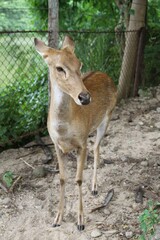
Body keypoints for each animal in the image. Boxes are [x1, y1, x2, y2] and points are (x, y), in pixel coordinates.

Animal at [34, 36, 117, 231]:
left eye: (80, 64)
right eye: (59, 68)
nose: (85, 97)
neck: (63, 129)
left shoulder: (82, 142)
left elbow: (78, 179)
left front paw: (80, 221)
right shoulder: (56, 145)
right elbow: (62, 178)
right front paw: (57, 218)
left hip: (107, 118)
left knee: (96, 148)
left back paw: (94, 187)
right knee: (95, 148)